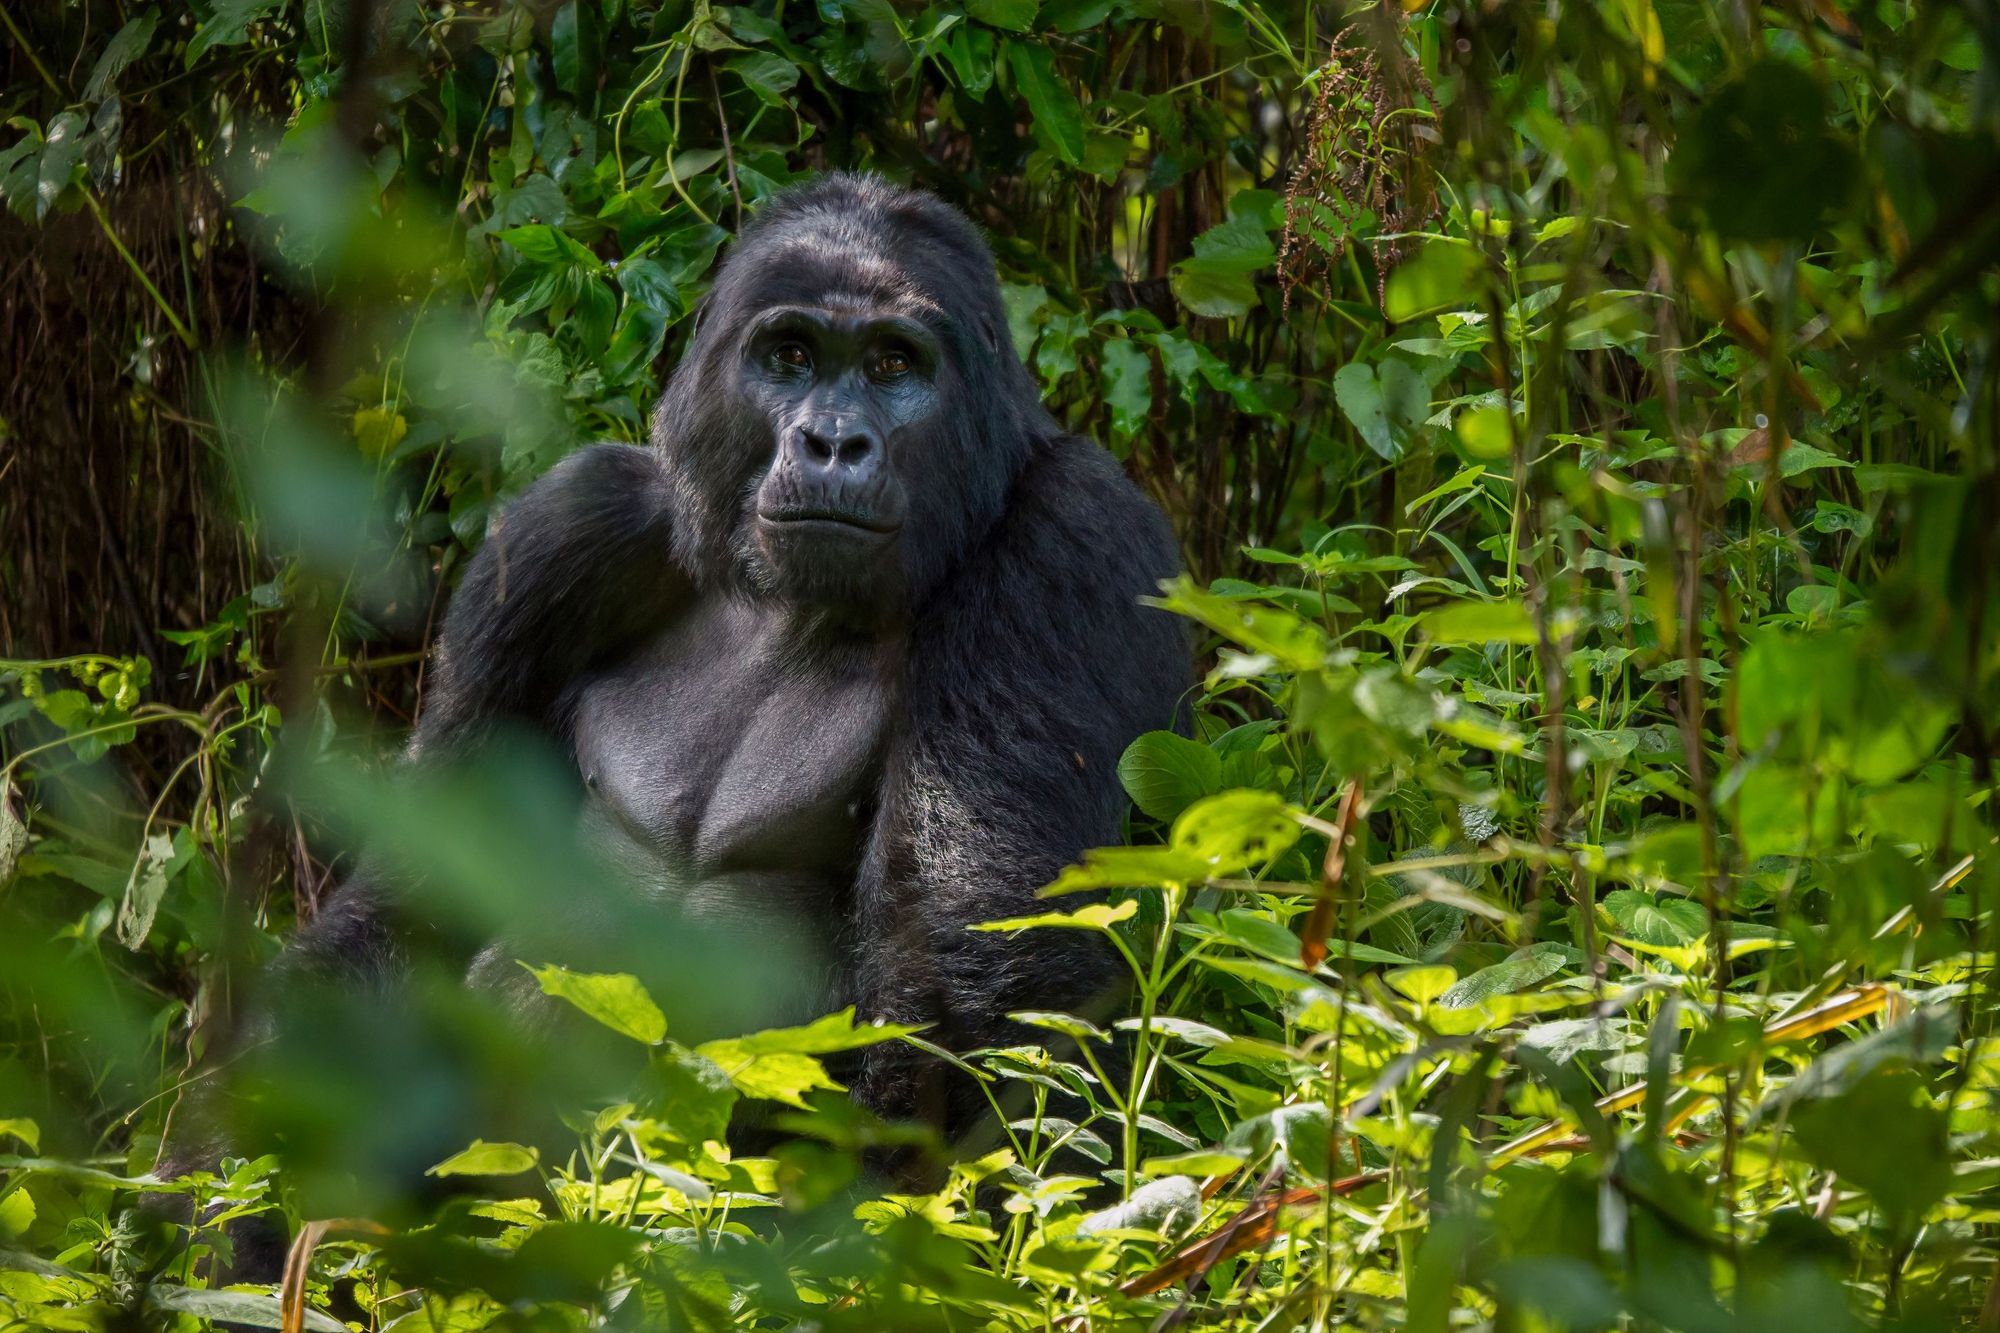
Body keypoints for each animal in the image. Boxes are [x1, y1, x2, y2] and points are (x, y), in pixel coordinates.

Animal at [207, 166, 1184, 1160]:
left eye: (892, 365)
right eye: (790, 355)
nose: (833, 443)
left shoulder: (1069, 535)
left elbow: (988, 1001)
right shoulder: (571, 523)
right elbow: (419, 889)